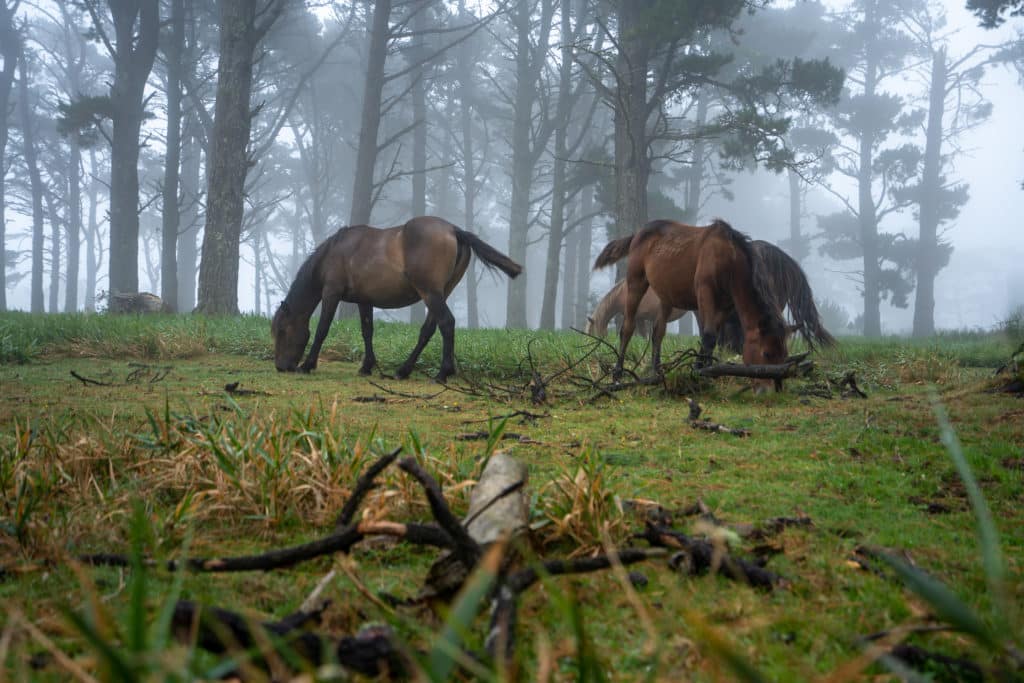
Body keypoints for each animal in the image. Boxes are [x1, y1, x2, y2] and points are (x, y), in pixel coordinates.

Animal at [272, 215, 520, 378]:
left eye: (282, 331)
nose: (281, 367)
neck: (335, 251)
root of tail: (453, 230)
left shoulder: (331, 293)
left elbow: (322, 329)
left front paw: (308, 365)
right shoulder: (364, 301)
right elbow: (367, 331)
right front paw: (367, 366)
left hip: (431, 293)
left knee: (446, 324)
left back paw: (443, 372)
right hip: (441, 293)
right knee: (428, 329)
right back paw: (404, 370)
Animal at [593, 219, 790, 389]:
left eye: (784, 355)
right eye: (766, 353)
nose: (776, 386)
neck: (728, 258)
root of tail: (638, 234)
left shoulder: (725, 306)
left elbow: (712, 337)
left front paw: (707, 369)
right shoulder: (705, 293)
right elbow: (708, 335)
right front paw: (699, 371)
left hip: (665, 295)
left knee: (658, 332)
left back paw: (657, 372)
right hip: (636, 283)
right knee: (627, 328)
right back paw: (617, 375)